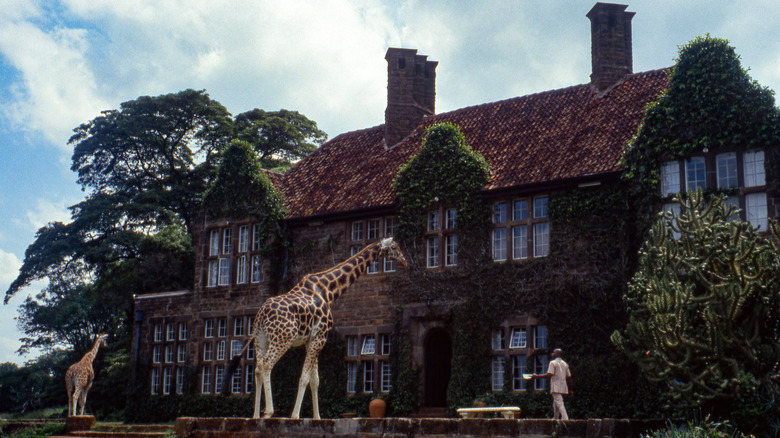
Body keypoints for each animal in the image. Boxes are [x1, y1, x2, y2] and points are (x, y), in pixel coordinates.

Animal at [248, 238, 412, 420]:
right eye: (394, 247)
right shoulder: (320, 337)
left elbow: (315, 380)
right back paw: (269, 411)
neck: (328, 291)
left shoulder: (312, 340)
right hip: (282, 340)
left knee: (257, 368)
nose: (404, 261)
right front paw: (295, 416)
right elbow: (305, 377)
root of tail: (261, 315)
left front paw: (317, 417)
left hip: (260, 339)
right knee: (266, 364)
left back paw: (255, 415)